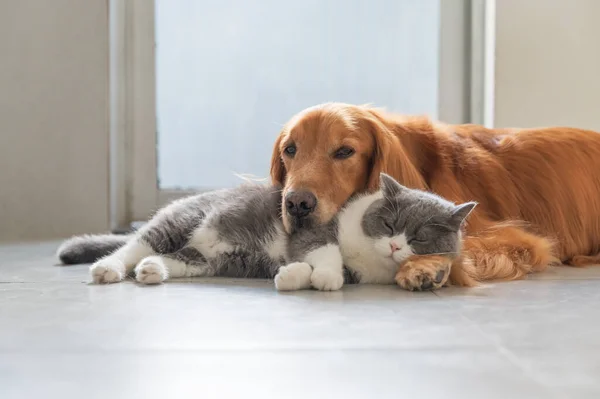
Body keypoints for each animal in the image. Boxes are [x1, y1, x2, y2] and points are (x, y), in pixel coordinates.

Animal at [58, 173, 476, 292]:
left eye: (419, 237)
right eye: (390, 224)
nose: (394, 245)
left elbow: (310, 266)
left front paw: (292, 276)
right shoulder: (314, 230)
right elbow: (328, 252)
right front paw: (324, 278)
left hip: (203, 261)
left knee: (165, 258)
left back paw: (150, 271)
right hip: (177, 222)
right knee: (133, 246)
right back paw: (108, 269)